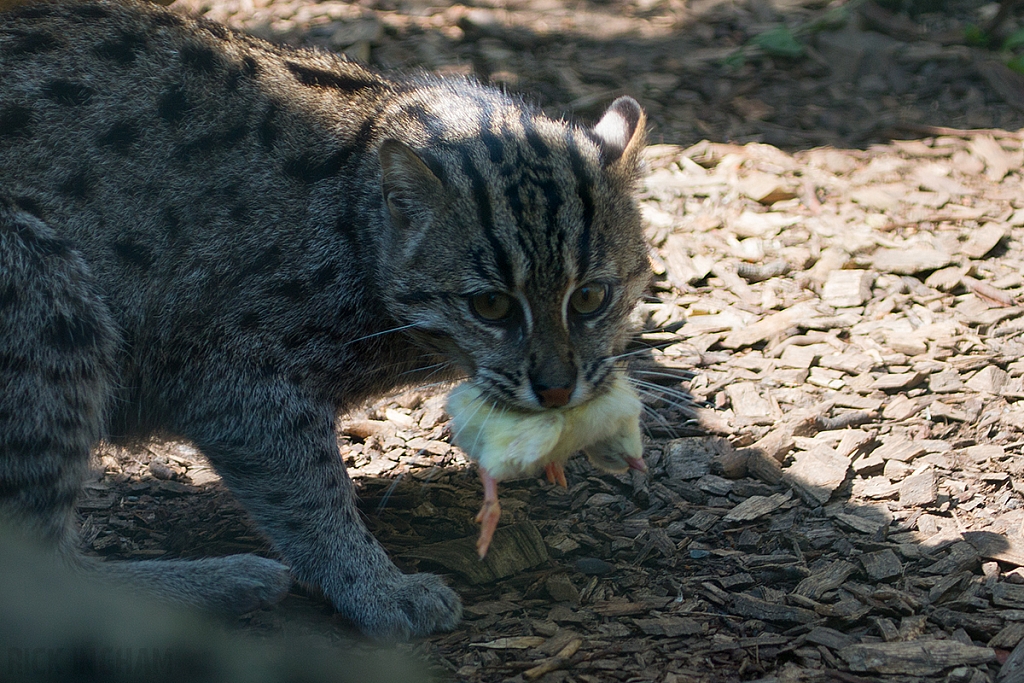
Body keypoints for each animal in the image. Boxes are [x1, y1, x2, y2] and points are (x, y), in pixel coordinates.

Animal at [2, 0, 647, 643]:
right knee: (45, 579)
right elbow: (307, 494)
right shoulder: (234, 379)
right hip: (45, 289)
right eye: (490, 305)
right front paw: (377, 589)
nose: (557, 388)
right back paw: (218, 584)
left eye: (591, 297)